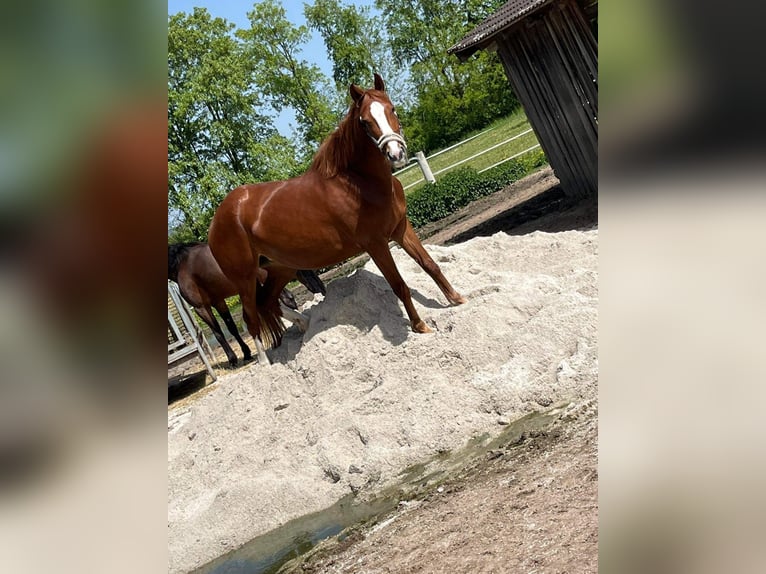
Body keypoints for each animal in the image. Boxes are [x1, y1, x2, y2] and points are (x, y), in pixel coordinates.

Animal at [166, 243, 326, 368]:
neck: (181, 263)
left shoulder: (201, 307)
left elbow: (218, 333)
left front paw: (232, 359)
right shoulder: (219, 301)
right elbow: (232, 328)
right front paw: (246, 353)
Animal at [207, 75, 464, 364]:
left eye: (393, 109)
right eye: (364, 121)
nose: (396, 154)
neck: (360, 184)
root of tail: (219, 219)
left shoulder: (401, 229)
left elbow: (430, 265)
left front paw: (457, 299)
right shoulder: (376, 245)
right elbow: (399, 284)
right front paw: (420, 326)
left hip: (281, 268)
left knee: (267, 303)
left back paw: (304, 324)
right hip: (245, 279)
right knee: (249, 317)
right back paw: (265, 362)